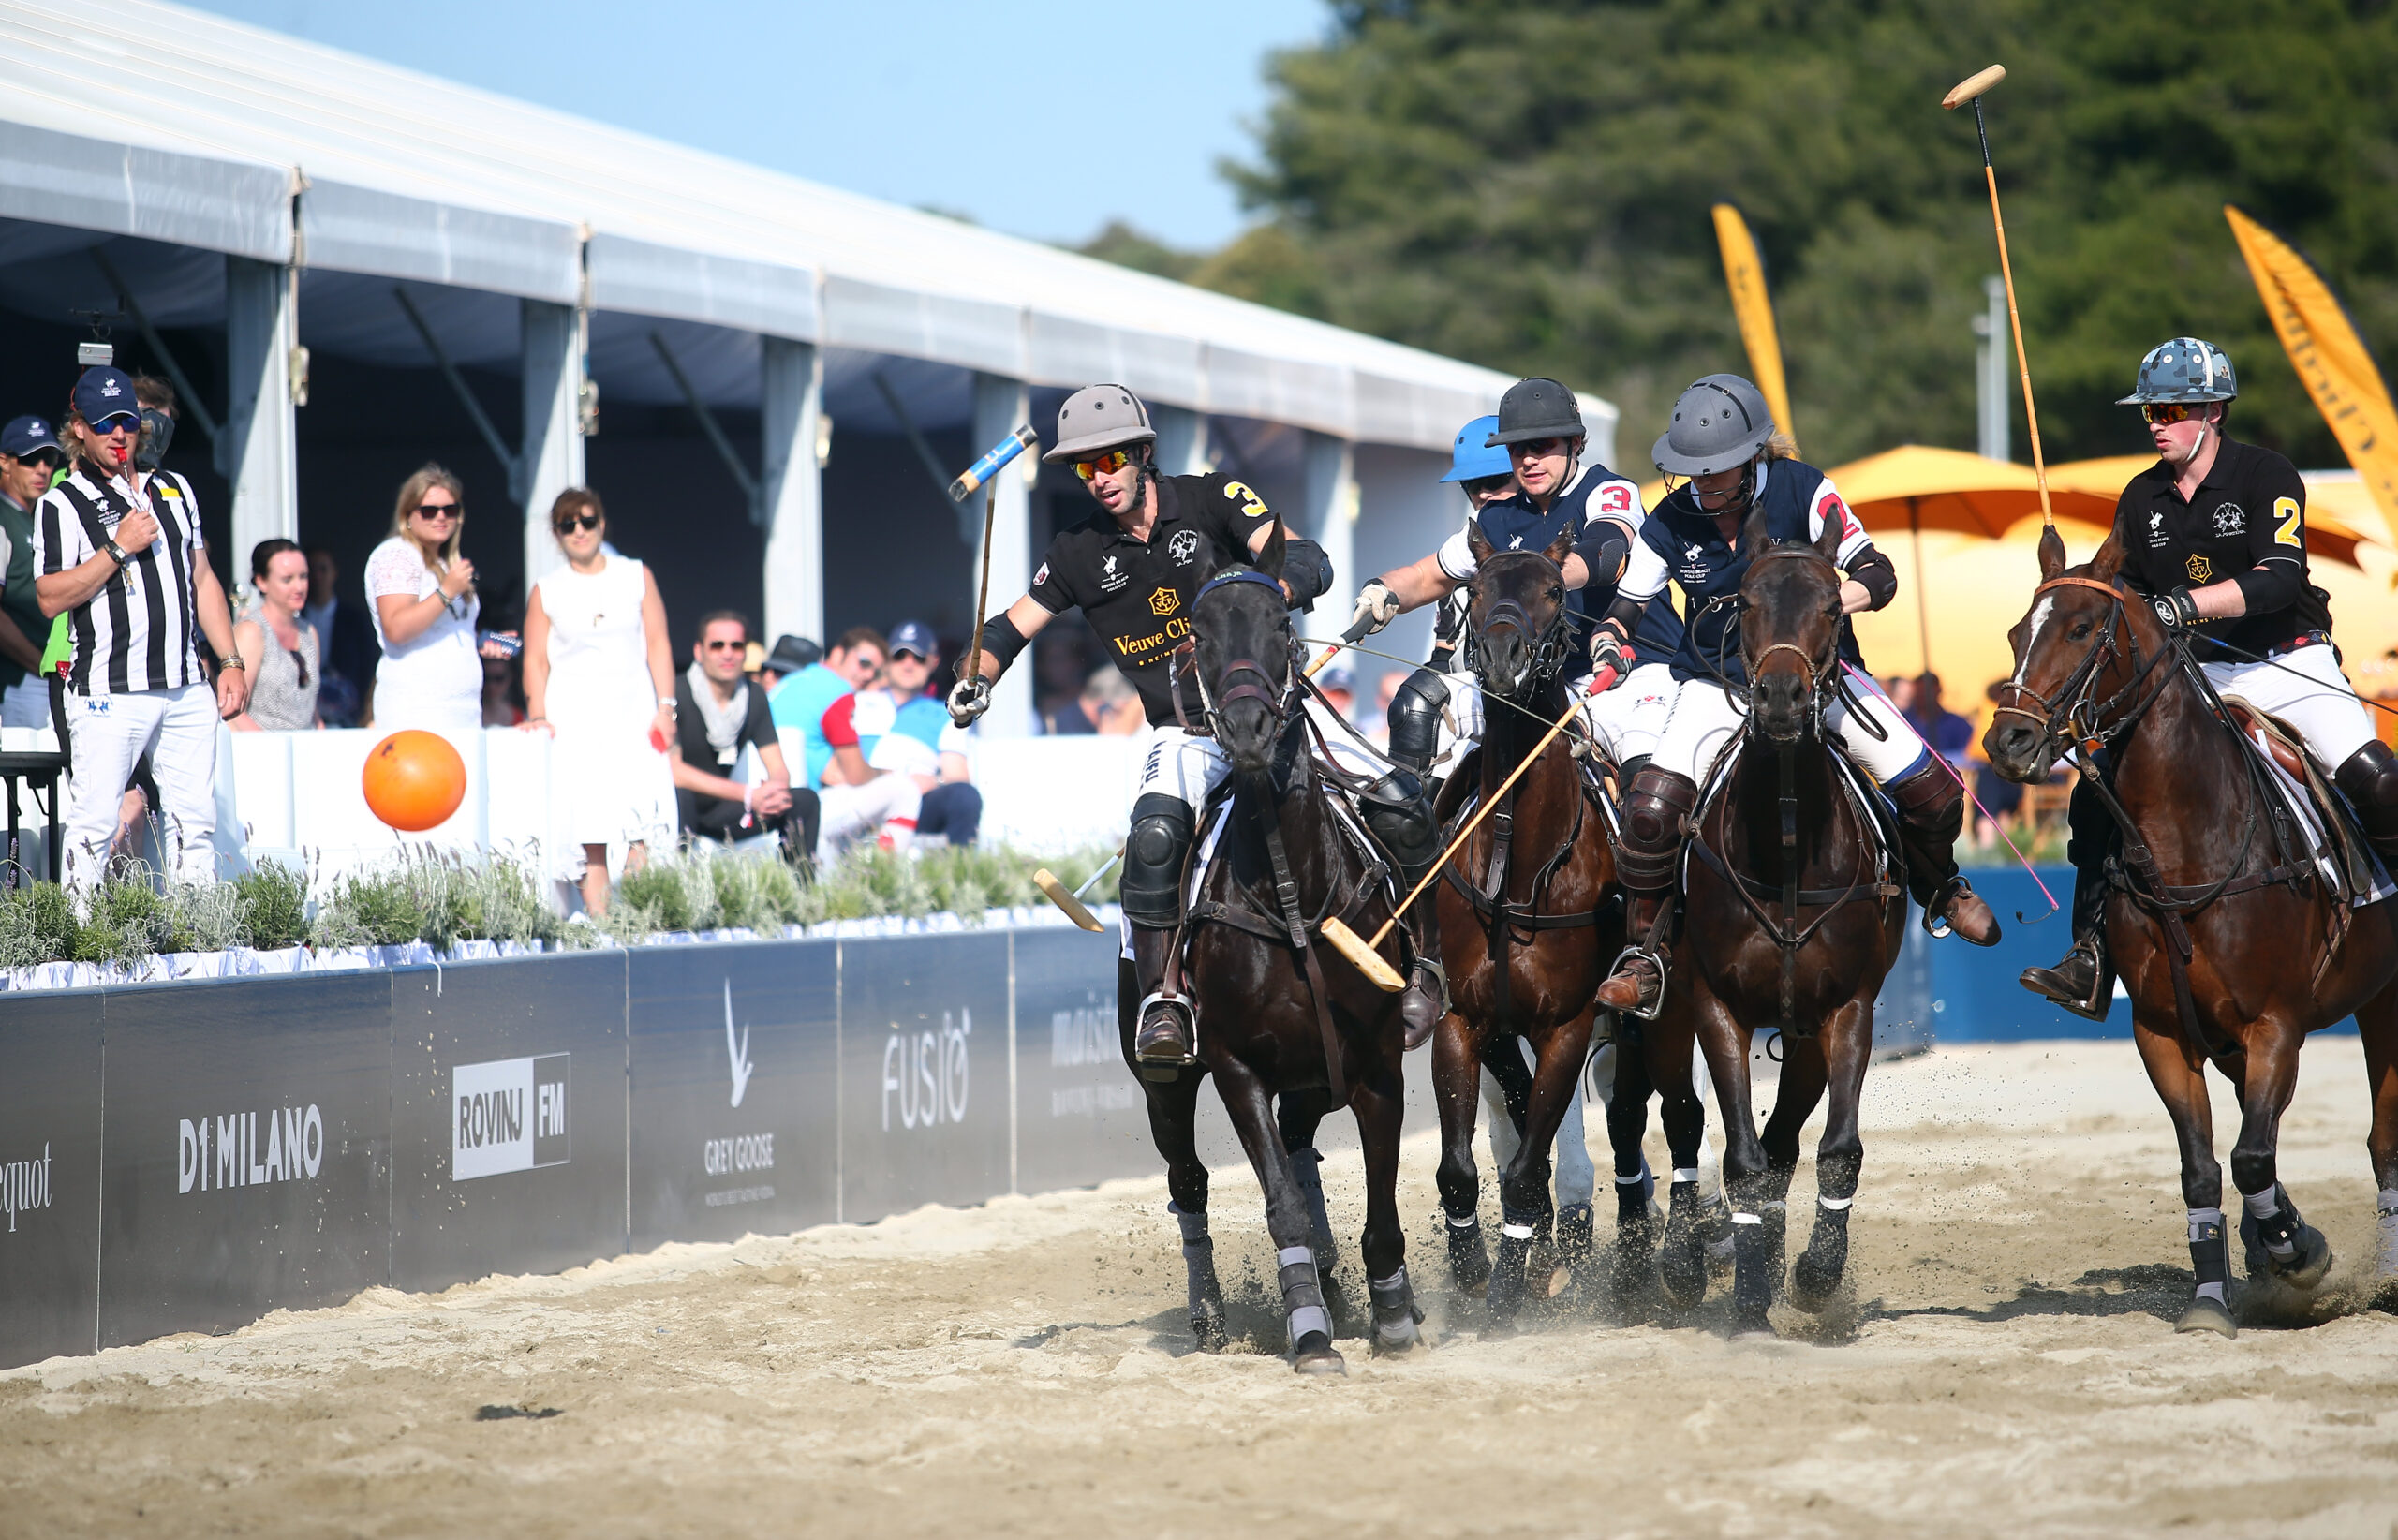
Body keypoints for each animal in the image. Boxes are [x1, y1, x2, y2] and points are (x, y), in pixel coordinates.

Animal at [1122, 532, 1419, 1371]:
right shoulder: (1236, 1067)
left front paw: (1392, 1312)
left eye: (1282, 624)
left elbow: (1379, 1200)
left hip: (1315, 1076)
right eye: (1198, 636)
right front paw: (1310, 1332)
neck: (1293, 893)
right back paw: (1211, 1314)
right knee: (1189, 1180)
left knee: (1301, 1150)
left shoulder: (1376, 1060)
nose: (1248, 732)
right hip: (1165, 1081)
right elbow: (1279, 1202)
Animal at [1640, 506, 1899, 1333]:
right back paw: (1684, 1261)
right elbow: (1741, 1157)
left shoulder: (1848, 1006)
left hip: (1806, 1036)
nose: (1782, 699)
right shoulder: (1716, 1004)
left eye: (1833, 607)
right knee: (1684, 1115)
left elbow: (1835, 1148)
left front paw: (1814, 1272)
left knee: (1788, 1139)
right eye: (1746, 605)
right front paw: (1752, 1295)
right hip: (1666, 1010)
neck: (1787, 843)